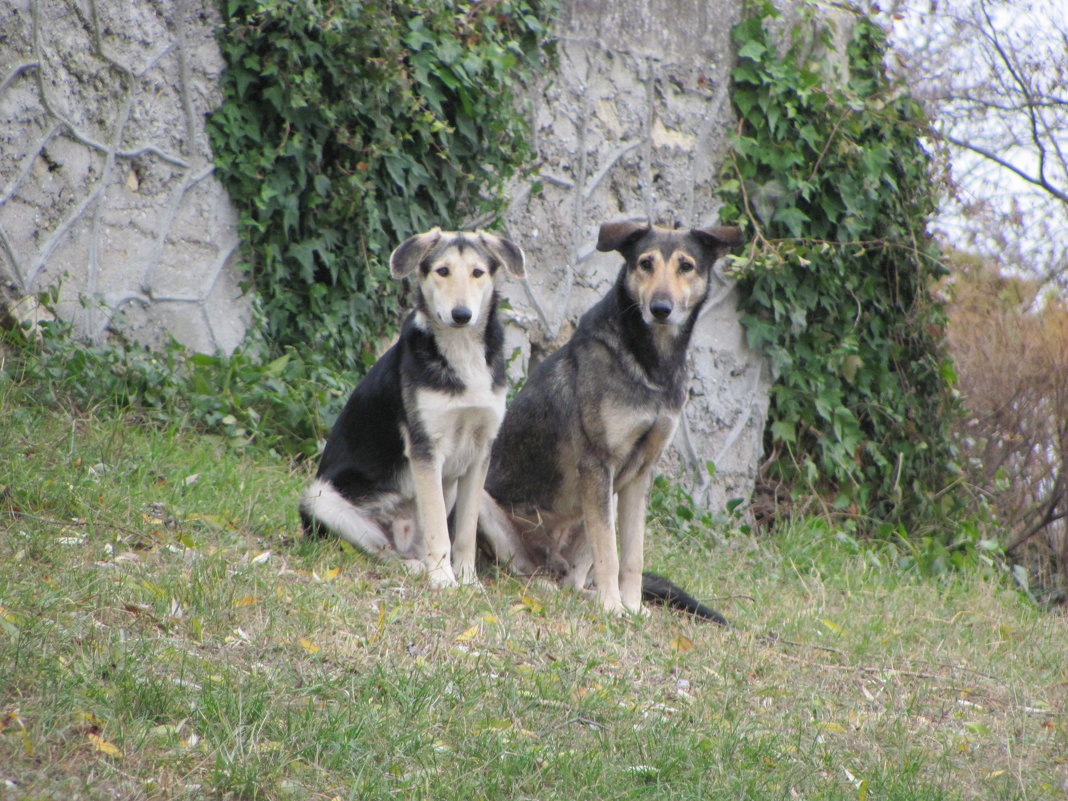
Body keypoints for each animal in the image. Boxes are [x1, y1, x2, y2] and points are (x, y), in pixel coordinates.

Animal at [301, 228, 525, 585]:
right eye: (443, 271)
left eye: (477, 273)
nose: (461, 315)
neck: (461, 352)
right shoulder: (425, 448)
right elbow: (439, 531)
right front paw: (444, 581)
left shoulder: (480, 452)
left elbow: (464, 532)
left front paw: (468, 581)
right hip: (321, 499)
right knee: (381, 552)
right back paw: (417, 568)